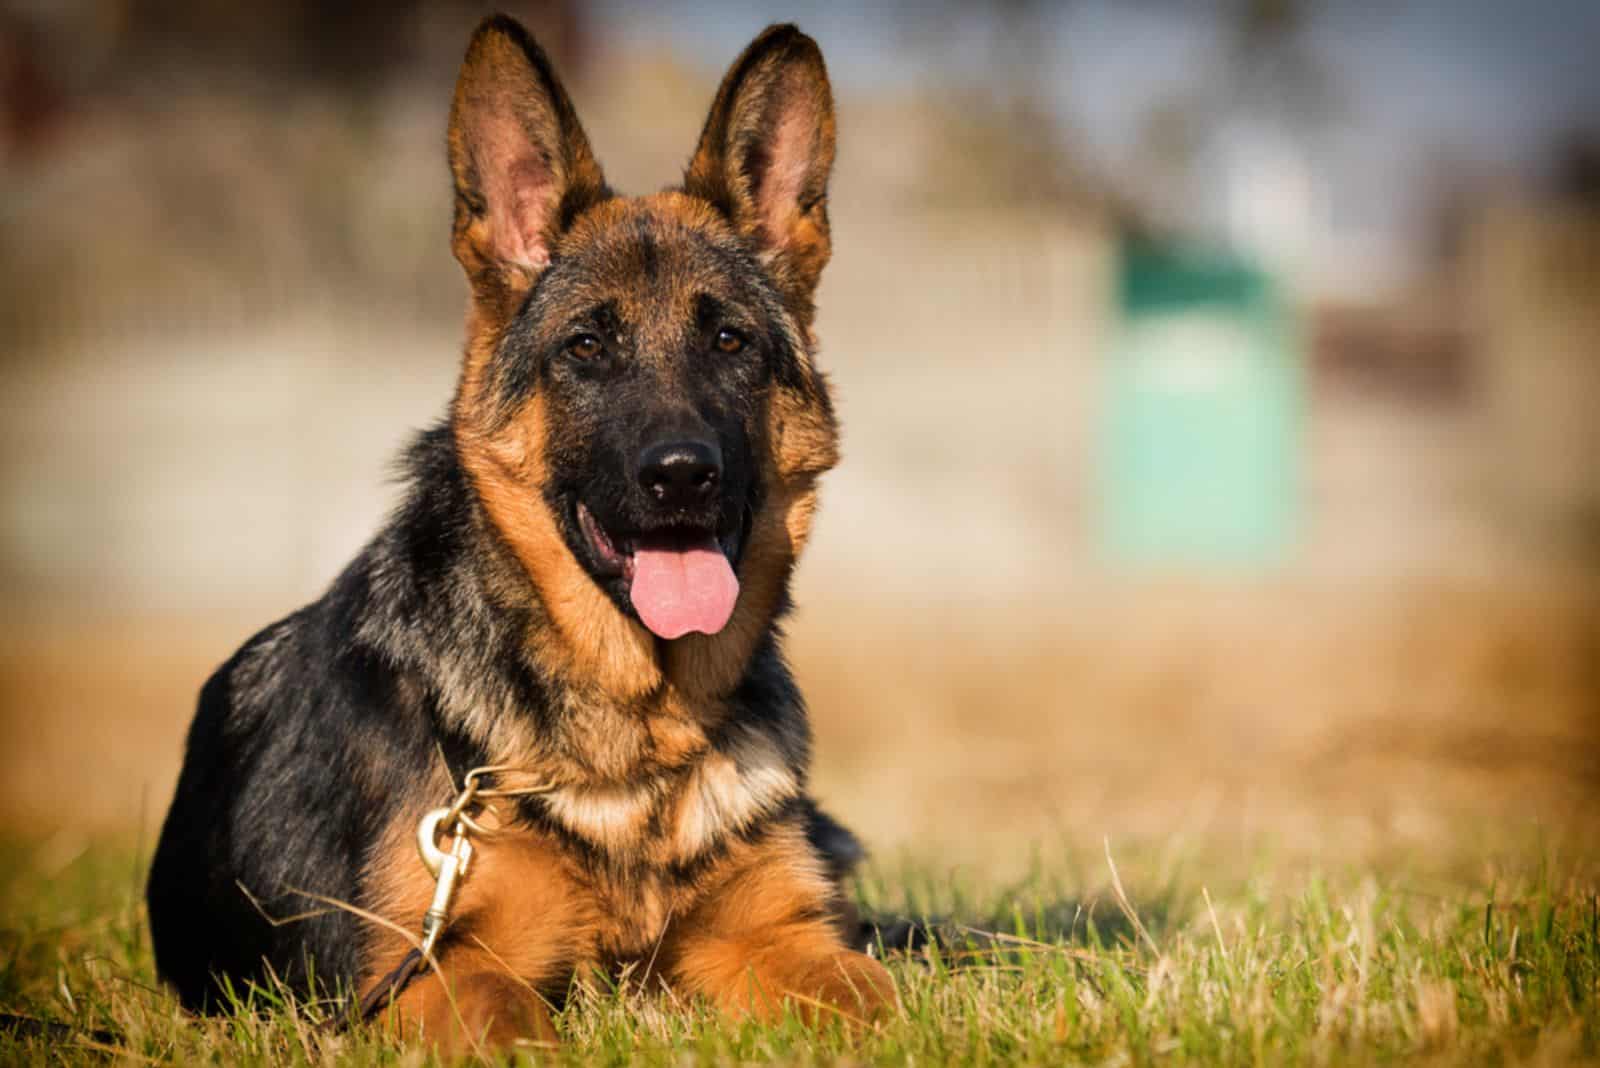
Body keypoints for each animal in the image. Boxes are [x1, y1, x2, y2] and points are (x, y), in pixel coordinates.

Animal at [147, 12, 902, 1055]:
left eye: (730, 342)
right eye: (585, 347)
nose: (682, 475)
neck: (640, 746)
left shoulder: (783, 938)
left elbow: (886, 997)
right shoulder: (426, 974)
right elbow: (514, 1022)